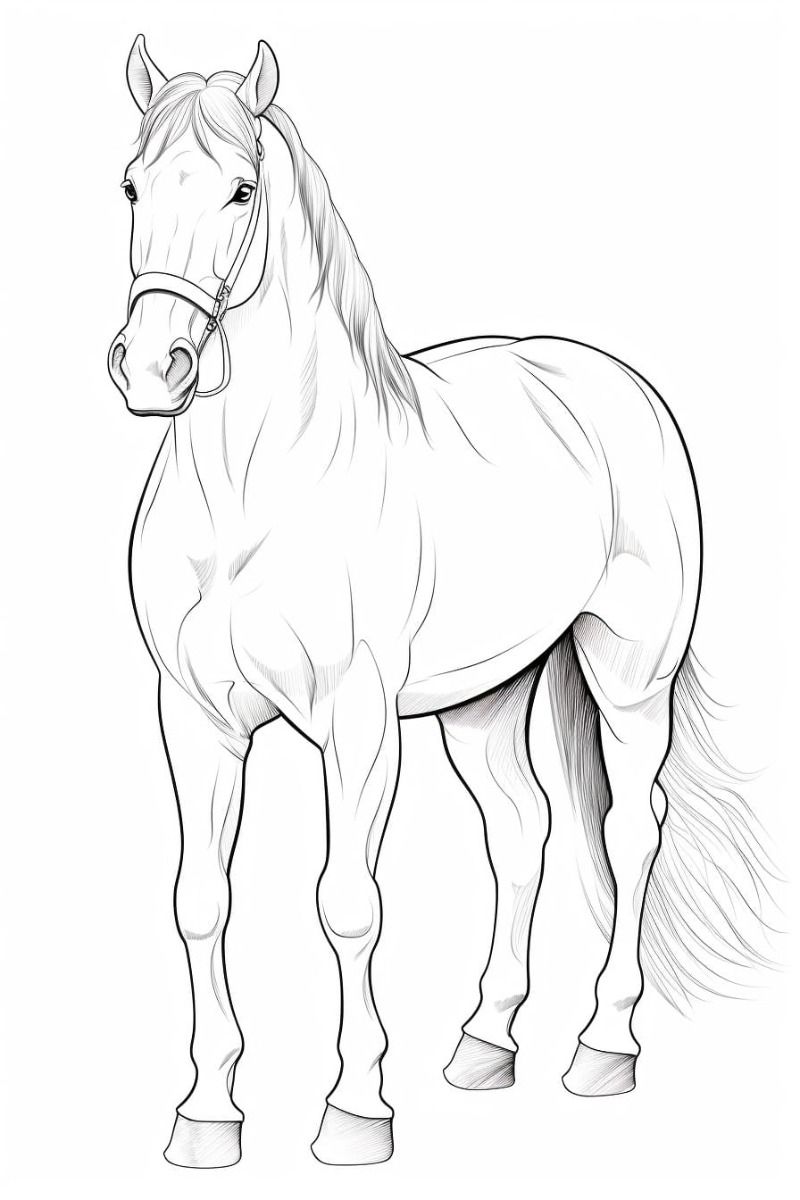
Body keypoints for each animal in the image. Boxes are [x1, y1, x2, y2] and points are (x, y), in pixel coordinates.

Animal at [108, 36, 773, 1168]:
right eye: (132, 186)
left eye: (241, 189)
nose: (155, 369)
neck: (254, 492)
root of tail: (612, 382)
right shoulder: (195, 720)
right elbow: (199, 902)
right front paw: (206, 1117)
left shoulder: (358, 724)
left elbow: (347, 905)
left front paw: (355, 1112)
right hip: (482, 700)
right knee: (520, 831)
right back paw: (484, 1045)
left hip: (629, 678)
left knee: (628, 831)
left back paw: (601, 1048)